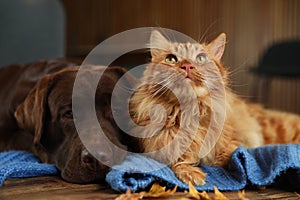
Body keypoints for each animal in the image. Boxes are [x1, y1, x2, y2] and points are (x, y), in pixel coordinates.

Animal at [129, 30, 300, 185]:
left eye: (200, 58)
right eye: (171, 59)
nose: (187, 66)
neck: (189, 112)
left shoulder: (235, 141)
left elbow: (229, 155)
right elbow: (176, 161)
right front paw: (191, 173)